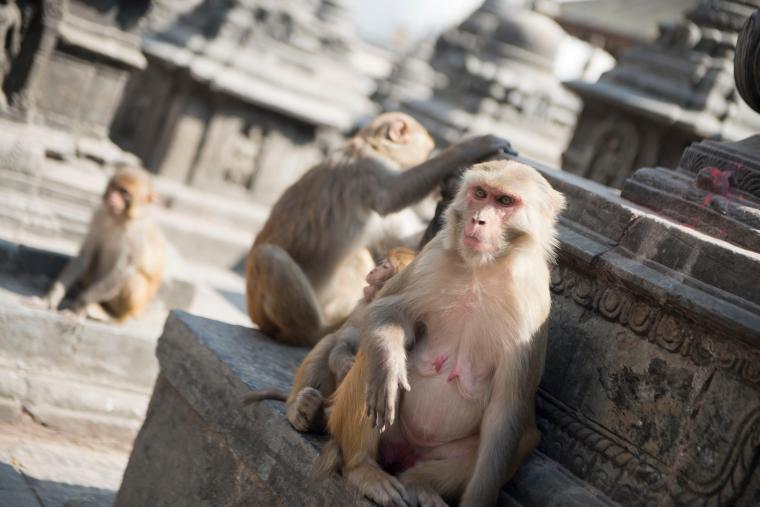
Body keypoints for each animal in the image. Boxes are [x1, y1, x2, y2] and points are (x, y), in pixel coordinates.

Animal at [242, 246, 416, 432]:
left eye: (385, 267)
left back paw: (317, 416)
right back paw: (296, 409)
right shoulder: (363, 306)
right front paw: (344, 362)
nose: (372, 270)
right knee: (329, 341)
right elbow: (345, 338)